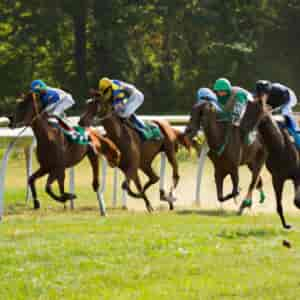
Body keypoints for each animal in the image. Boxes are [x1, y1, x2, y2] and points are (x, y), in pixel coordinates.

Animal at [240, 97, 300, 229]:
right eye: (245, 110)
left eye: (256, 112)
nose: (242, 128)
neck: (281, 146)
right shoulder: (277, 179)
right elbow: (279, 206)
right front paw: (286, 225)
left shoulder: (297, 176)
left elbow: (297, 202)